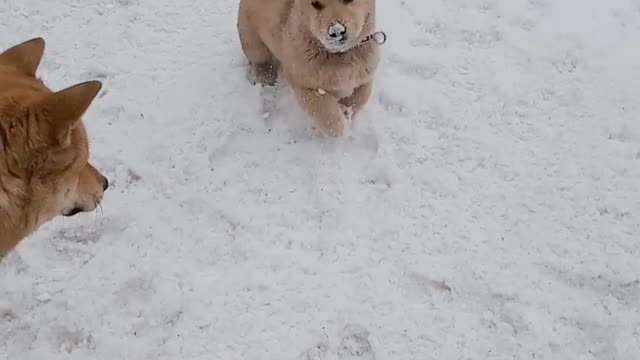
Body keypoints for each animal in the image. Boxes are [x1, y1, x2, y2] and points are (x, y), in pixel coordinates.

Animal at [239, 0, 380, 136]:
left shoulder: (364, 76)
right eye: (315, 4)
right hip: (252, 39)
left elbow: (360, 99)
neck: (340, 55)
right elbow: (323, 110)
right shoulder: (303, 83)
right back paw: (264, 77)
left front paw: (346, 111)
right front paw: (341, 125)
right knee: (260, 60)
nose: (336, 31)